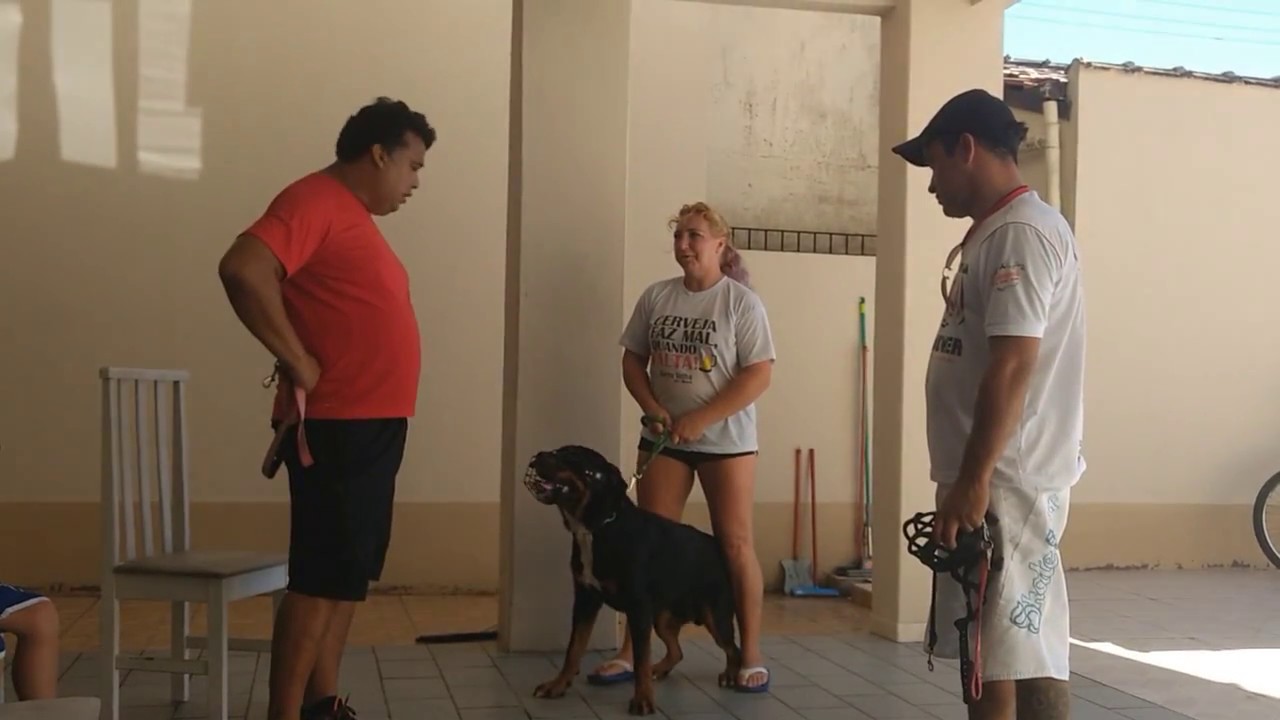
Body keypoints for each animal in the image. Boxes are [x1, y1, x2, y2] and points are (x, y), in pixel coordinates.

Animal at [519, 443, 742, 712]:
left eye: (571, 456)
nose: (539, 455)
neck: (598, 528)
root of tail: (716, 547)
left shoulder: (638, 608)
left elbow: (641, 659)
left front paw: (643, 699)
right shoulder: (585, 600)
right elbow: (574, 648)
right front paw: (557, 685)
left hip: (715, 616)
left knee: (734, 649)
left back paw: (731, 674)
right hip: (662, 618)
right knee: (677, 650)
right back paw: (661, 669)